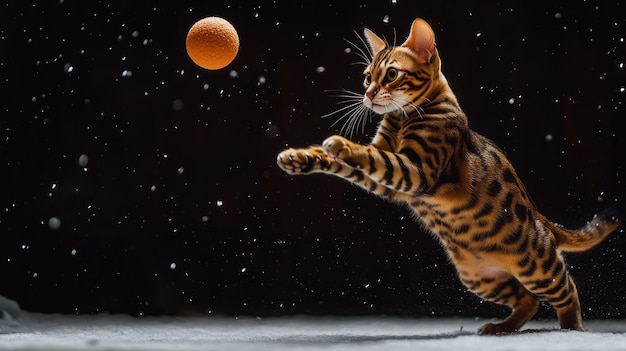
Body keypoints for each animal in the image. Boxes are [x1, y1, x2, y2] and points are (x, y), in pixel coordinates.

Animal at [274, 17, 620, 336]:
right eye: (366, 77)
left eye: (391, 75)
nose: (369, 95)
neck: (400, 120)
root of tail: (541, 218)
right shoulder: (391, 183)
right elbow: (350, 162)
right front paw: (300, 157)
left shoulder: (416, 170)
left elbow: (369, 156)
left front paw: (341, 144)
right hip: (479, 277)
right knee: (528, 300)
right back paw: (502, 328)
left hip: (535, 266)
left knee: (568, 291)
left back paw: (572, 330)